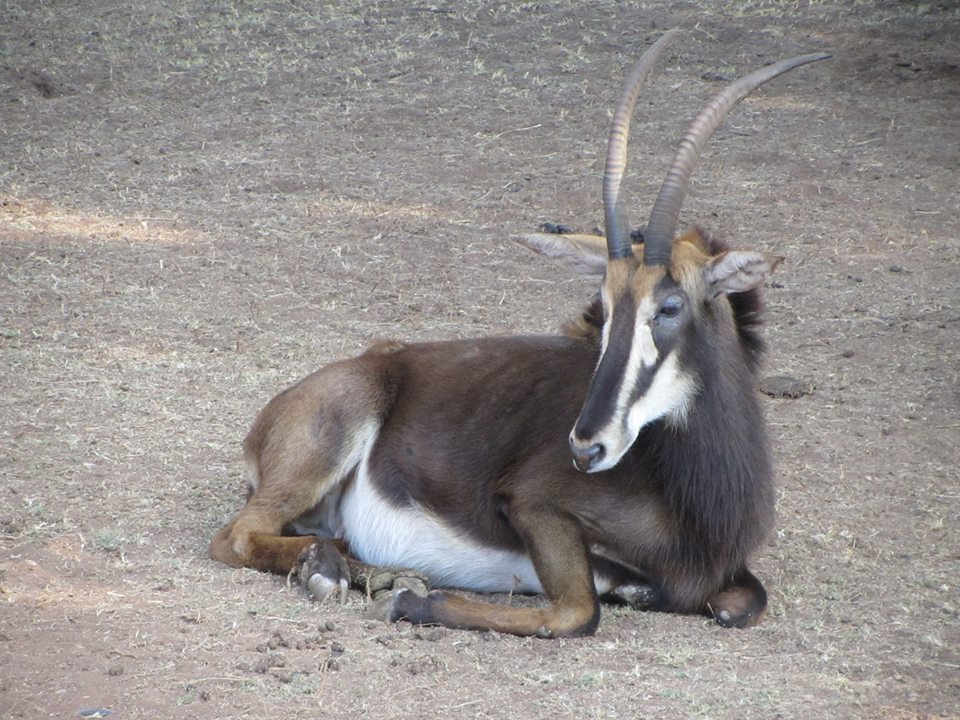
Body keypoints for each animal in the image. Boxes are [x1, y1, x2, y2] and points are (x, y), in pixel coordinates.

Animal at [209, 30, 829, 637]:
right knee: (235, 535)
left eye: (670, 306)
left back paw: (364, 571)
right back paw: (345, 576)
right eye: (605, 308)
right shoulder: (534, 507)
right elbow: (578, 613)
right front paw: (413, 604)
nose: (586, 447)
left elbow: (744, 602)